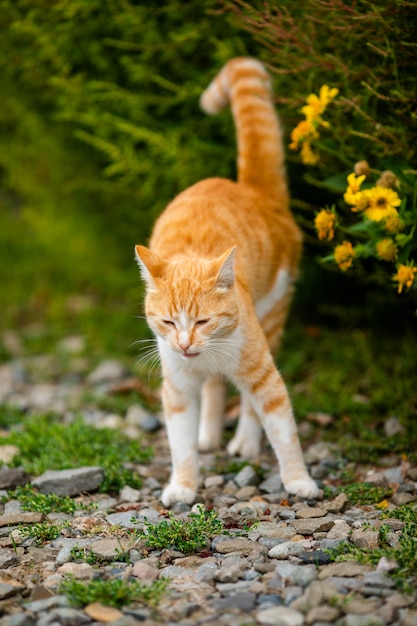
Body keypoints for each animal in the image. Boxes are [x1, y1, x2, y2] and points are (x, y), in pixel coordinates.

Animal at [135, 58, 316, 504]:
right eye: (168, 322)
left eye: (203, 321)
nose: (185, 344)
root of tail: (253, 190)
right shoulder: (178, 388)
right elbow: (179, 444)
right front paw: (183, 486)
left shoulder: (264, 375)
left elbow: (284, 432)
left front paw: (299, 481)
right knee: (215, 390)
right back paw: (210, 435)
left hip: (273, 317)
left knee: (249, 406)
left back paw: (245, 443)